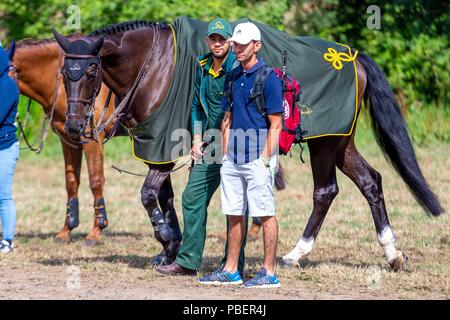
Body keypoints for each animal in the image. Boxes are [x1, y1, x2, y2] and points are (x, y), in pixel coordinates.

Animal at [10, 38, 117, 246]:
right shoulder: (68, 139)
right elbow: (71, 182)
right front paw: (67, 230)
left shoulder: (92, 140)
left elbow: (96, 180)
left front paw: (96, 231)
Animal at [52, 20, 442, 270]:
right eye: (63, 74)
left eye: (90, 72)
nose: (73, 126)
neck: (155, 63)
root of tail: (352, 57)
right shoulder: (159, 150)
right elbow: (164, 196)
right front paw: (171, 247)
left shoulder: (163, 147)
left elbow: (149, 195)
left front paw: (167, 241)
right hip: (340, 142)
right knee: (369, 182)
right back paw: (391, 254)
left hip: (325, 143)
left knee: (325, 191)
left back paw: (296, 253)